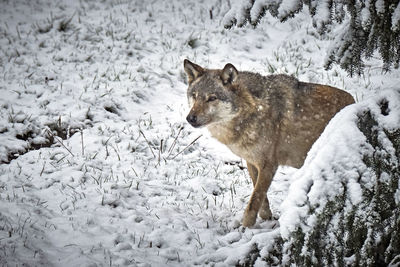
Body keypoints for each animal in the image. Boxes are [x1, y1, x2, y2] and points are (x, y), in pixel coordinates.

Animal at [183, 59, 354, 228]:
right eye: (194, 96)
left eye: (212, 98)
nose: (190, 118)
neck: (252, 109)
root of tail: (354, 102)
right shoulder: (252, 162)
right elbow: (261, 196)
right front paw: (267, 218)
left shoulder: (269, 165)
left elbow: (254, 201)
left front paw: (246, 228)